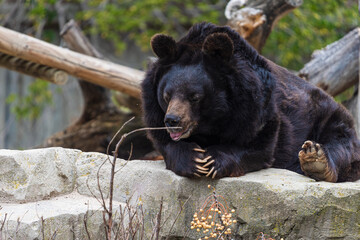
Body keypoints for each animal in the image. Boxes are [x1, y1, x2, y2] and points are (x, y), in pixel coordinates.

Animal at [141, 23, 360, 183]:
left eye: (195, 97)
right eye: (167, 95)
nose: (172, 120)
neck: (211, 122)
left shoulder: (256, 107)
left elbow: (258, 145)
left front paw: (212, 161)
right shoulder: (153, 110)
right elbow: (165, 141)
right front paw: (194, 159)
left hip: (327, 116)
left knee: (340, 144)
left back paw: (315, 159)